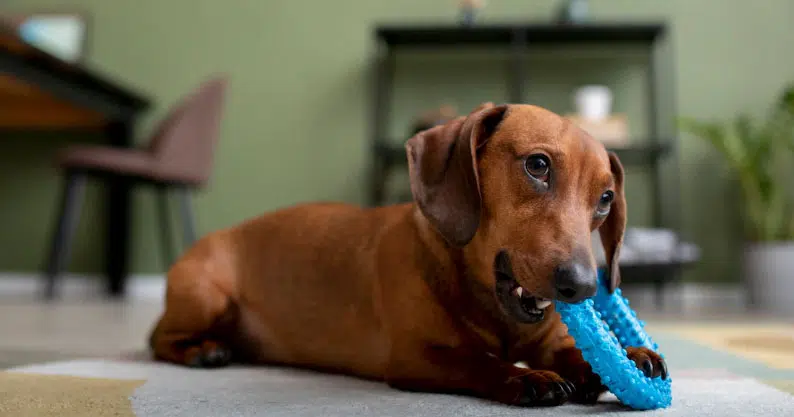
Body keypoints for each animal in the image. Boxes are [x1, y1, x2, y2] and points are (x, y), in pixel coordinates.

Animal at [147, 102, 664, 404]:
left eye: (605, 199)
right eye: (537, 165)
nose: (582, 287)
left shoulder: (547, 340)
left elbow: (575, 351)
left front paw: (630, 355)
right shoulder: (417, 356)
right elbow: (477, 361)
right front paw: (527, 378)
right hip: (207, 297)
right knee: (157, 340)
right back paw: (205, 350)